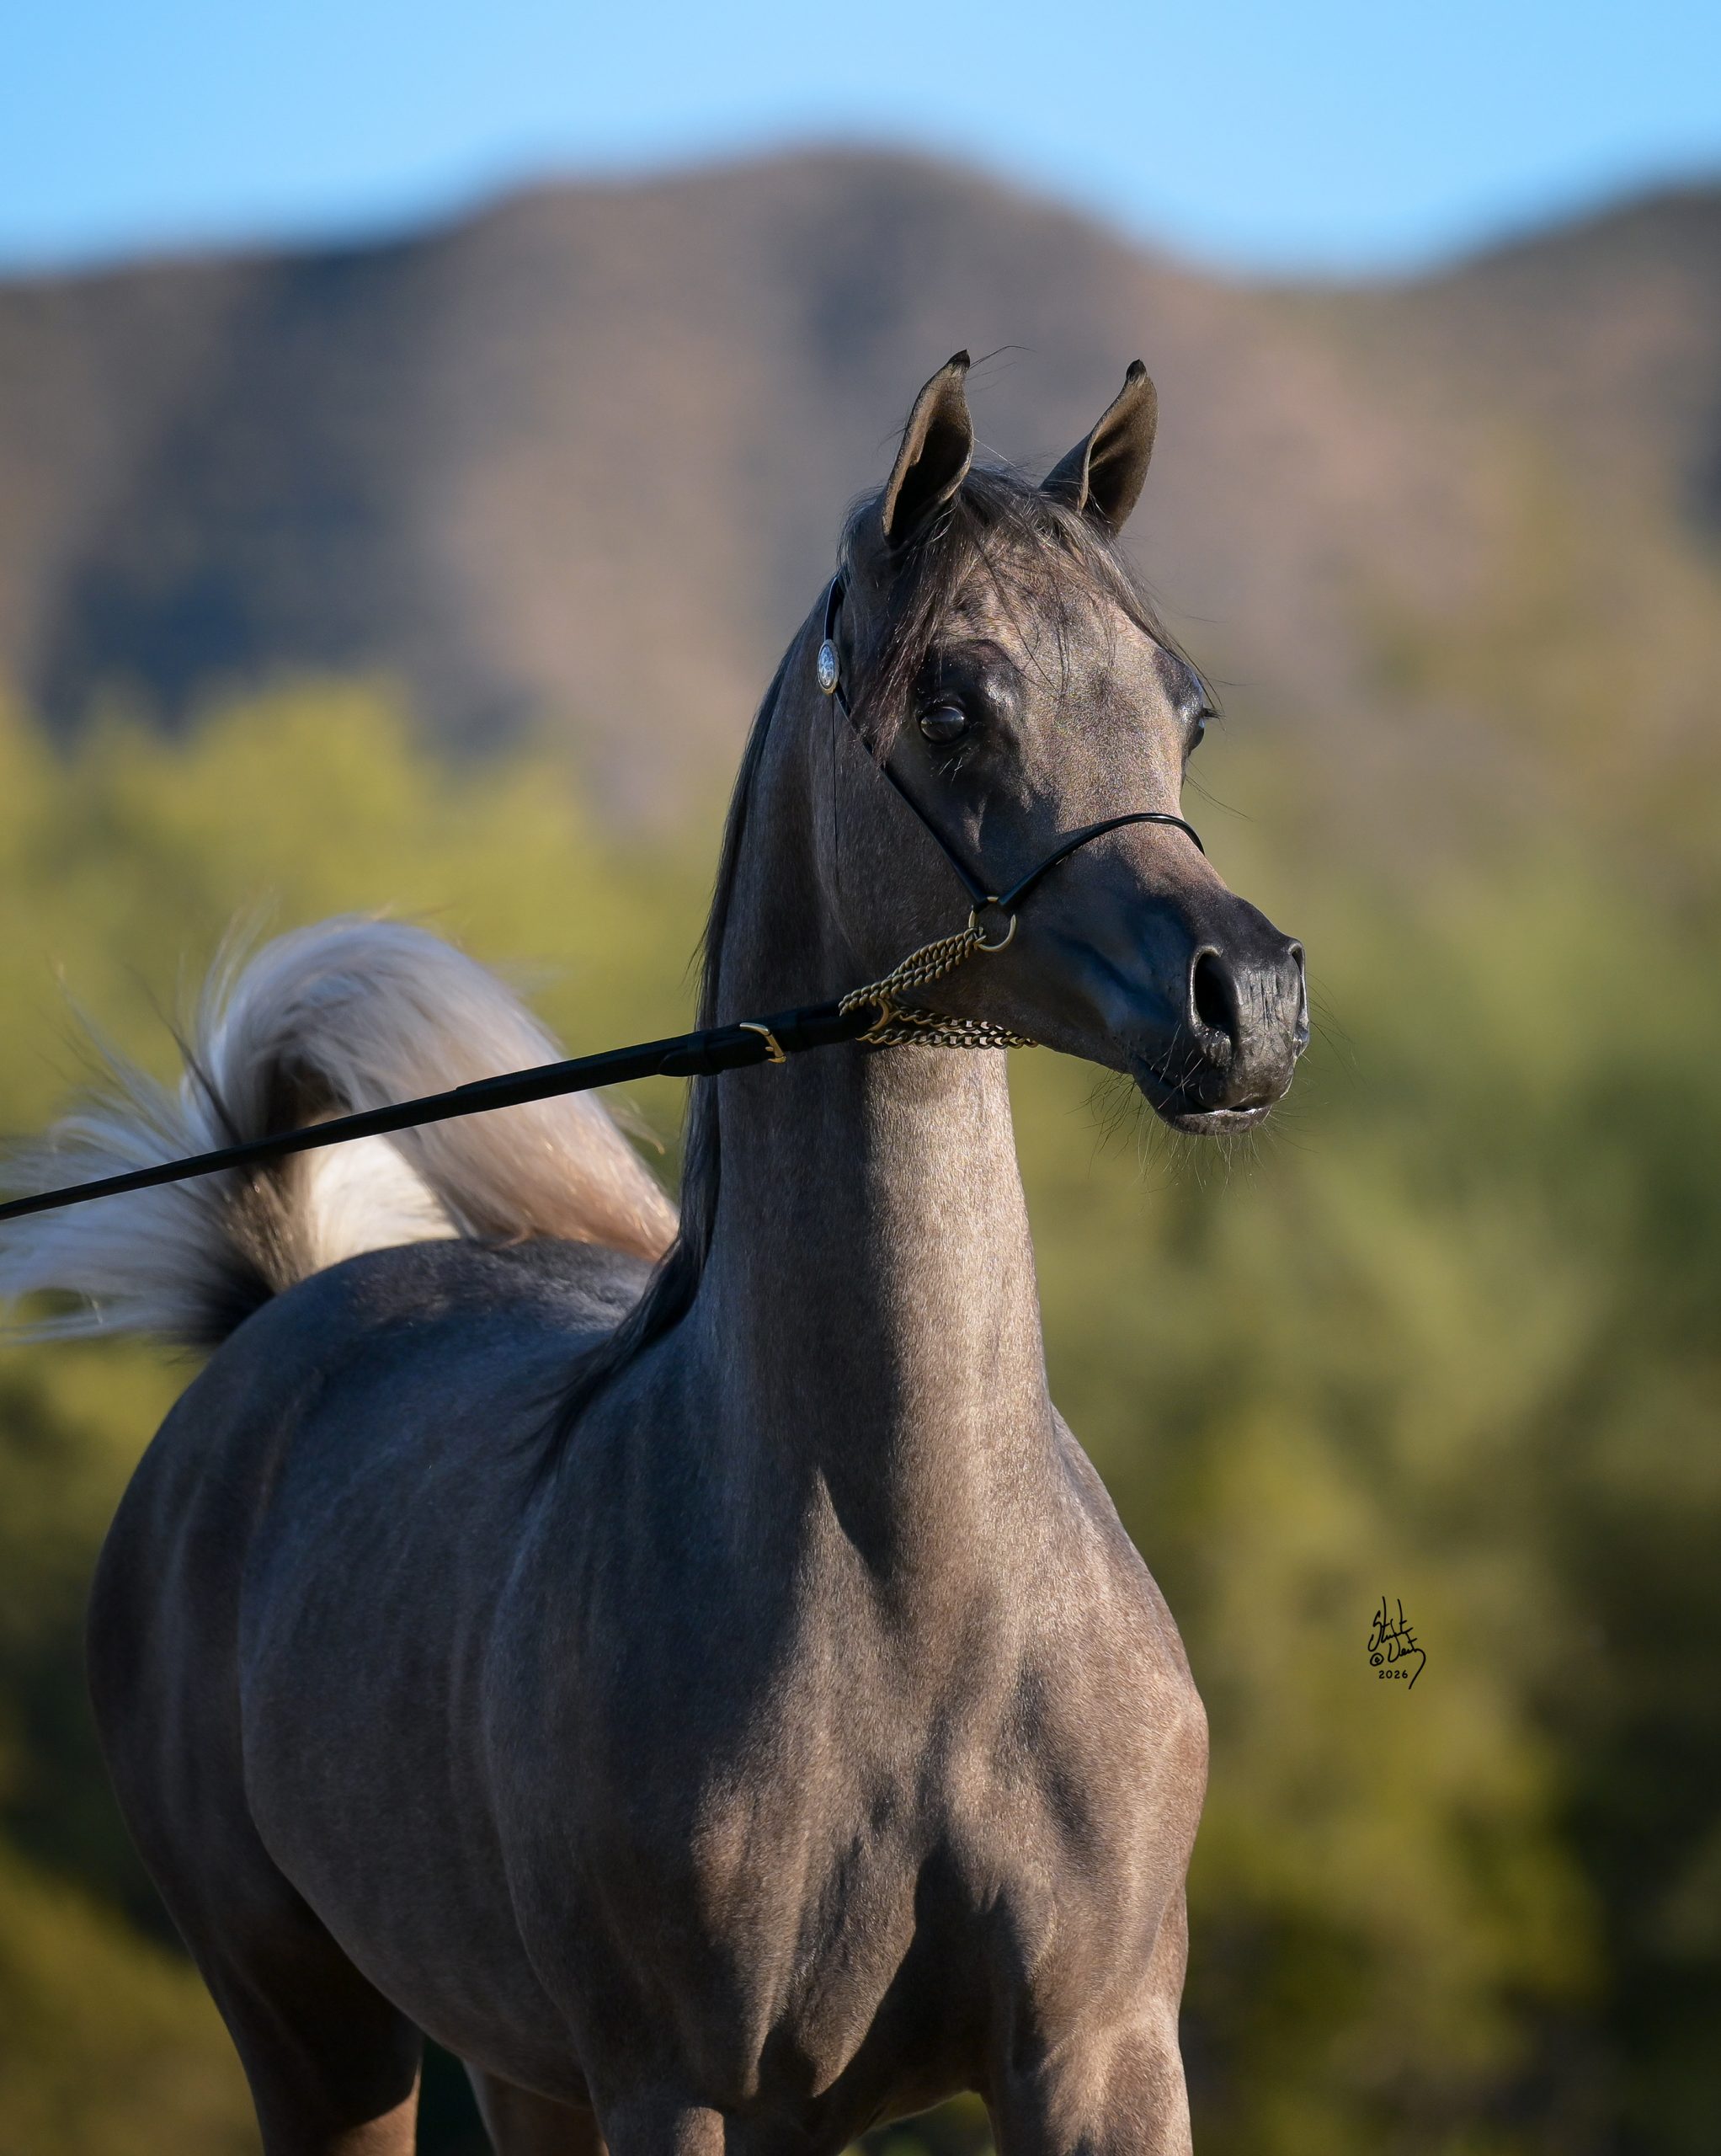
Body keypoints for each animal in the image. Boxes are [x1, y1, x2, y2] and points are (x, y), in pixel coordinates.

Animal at [1, 353, 1306, 2156]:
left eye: (1181, 710)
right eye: (951, 707)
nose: (1242, 999)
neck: (911, 1592)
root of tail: (274, 1311)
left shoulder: (1099, 2054)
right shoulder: (682, 2089)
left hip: (518, 2066)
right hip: (319, 2035)